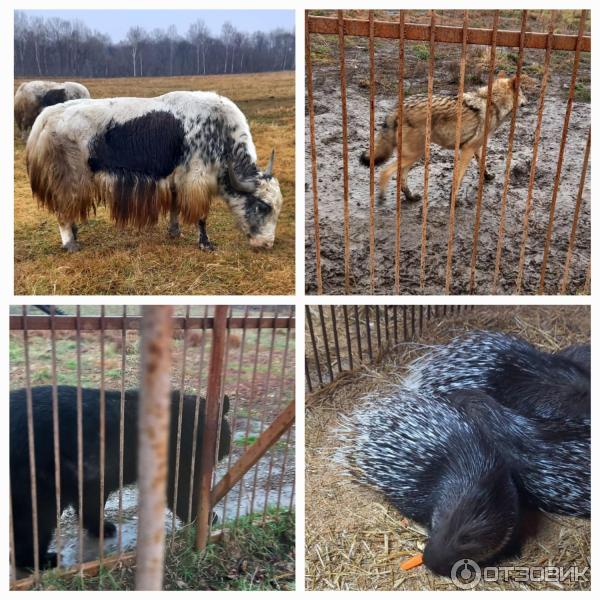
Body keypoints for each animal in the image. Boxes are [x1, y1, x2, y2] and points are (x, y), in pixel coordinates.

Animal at [360, 71, 524, 203]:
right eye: (523, 94)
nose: (526, 101)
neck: (492, 102)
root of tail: (398, 107)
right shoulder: (467, 150)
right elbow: (458, 178)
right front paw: (454, 200)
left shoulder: (475, 147)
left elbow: (483, 164)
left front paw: (488, 176)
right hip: (415, 154)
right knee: (385, 171)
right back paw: (382, 197)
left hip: (412, 155)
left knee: (401, 177)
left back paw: (410, 197)